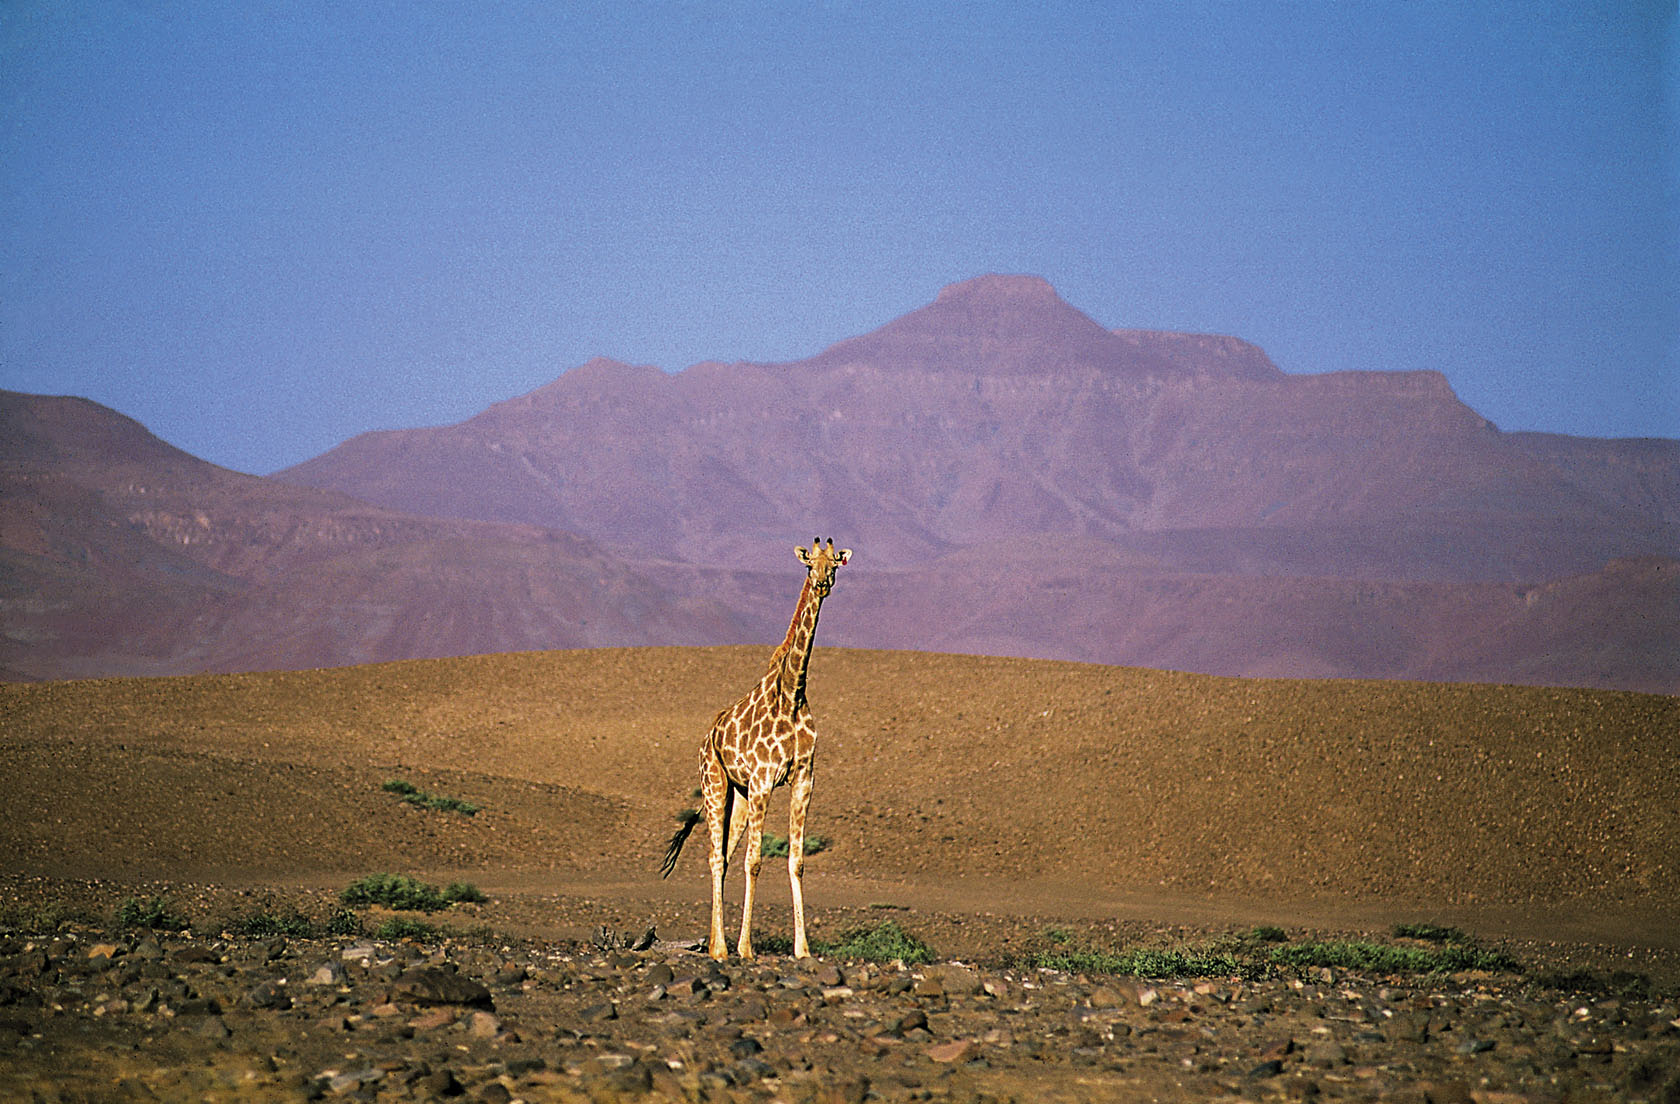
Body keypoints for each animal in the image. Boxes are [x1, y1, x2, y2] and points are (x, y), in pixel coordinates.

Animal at [660, 538, 851, 960]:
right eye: (810, 563)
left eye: (835, 564)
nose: (822, 584)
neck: (792, 694)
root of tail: (708, 737)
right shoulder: (764, 779)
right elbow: (756, 861)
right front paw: (746, 948)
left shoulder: (803, 779)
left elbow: (795, 861)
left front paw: (802, 949)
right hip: (716, 785)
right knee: (717, 858)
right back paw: (721, 949)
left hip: (741, 795)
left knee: (725, 855)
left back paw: (714, 943)